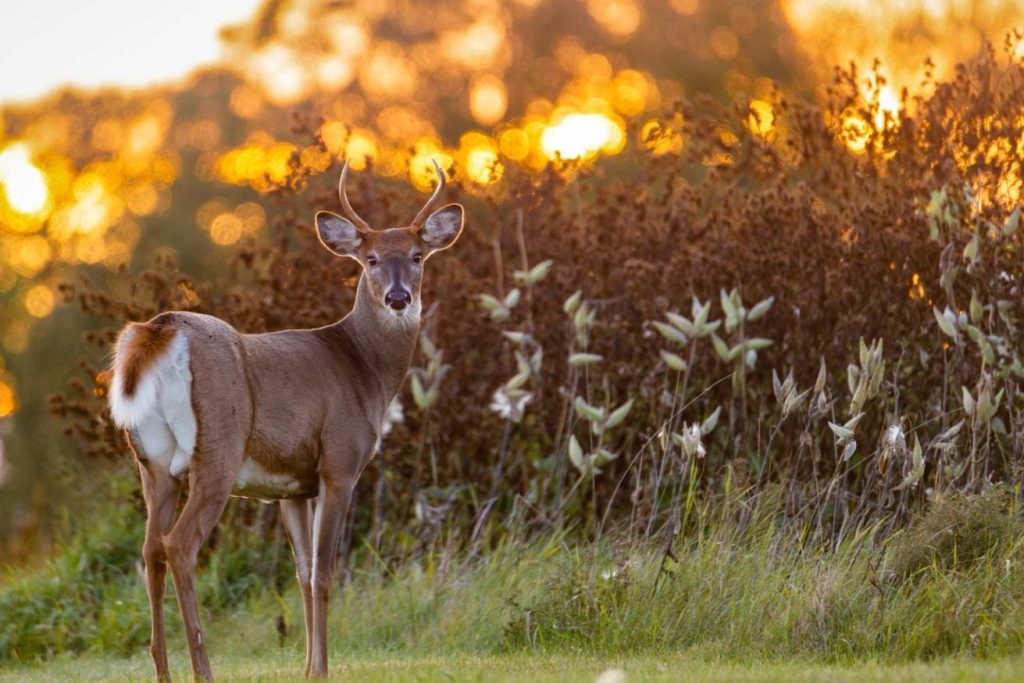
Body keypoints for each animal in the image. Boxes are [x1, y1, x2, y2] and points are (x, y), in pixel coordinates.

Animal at [106, 160, 463, 681]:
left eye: (418, 256)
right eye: (371, 259)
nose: (399, 298)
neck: (363, 369)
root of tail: (159, 331)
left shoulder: (292, 487)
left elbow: (303, 573)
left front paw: (309, 666)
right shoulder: (339, 463)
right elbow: (326, 572)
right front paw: (323, 670)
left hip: (151, 463)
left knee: (151, 549)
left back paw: (163, 670)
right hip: (217, 450)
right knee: (181, 546)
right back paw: (203, 669)